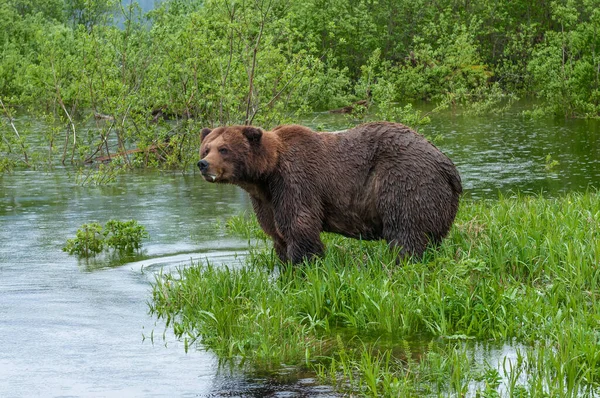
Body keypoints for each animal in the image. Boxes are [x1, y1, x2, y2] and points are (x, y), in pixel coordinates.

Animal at [199, 121, 462, 264]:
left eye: (224, 149)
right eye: (206, 148)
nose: (203, 164)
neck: (265, 176)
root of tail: (447, 165)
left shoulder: (295, 181)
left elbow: (299, 227)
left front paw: (303, 265)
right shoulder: (266, 199)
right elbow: (276, 232)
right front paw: (283, 265)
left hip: (405, 179)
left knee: (406, 230)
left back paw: (401, 261)